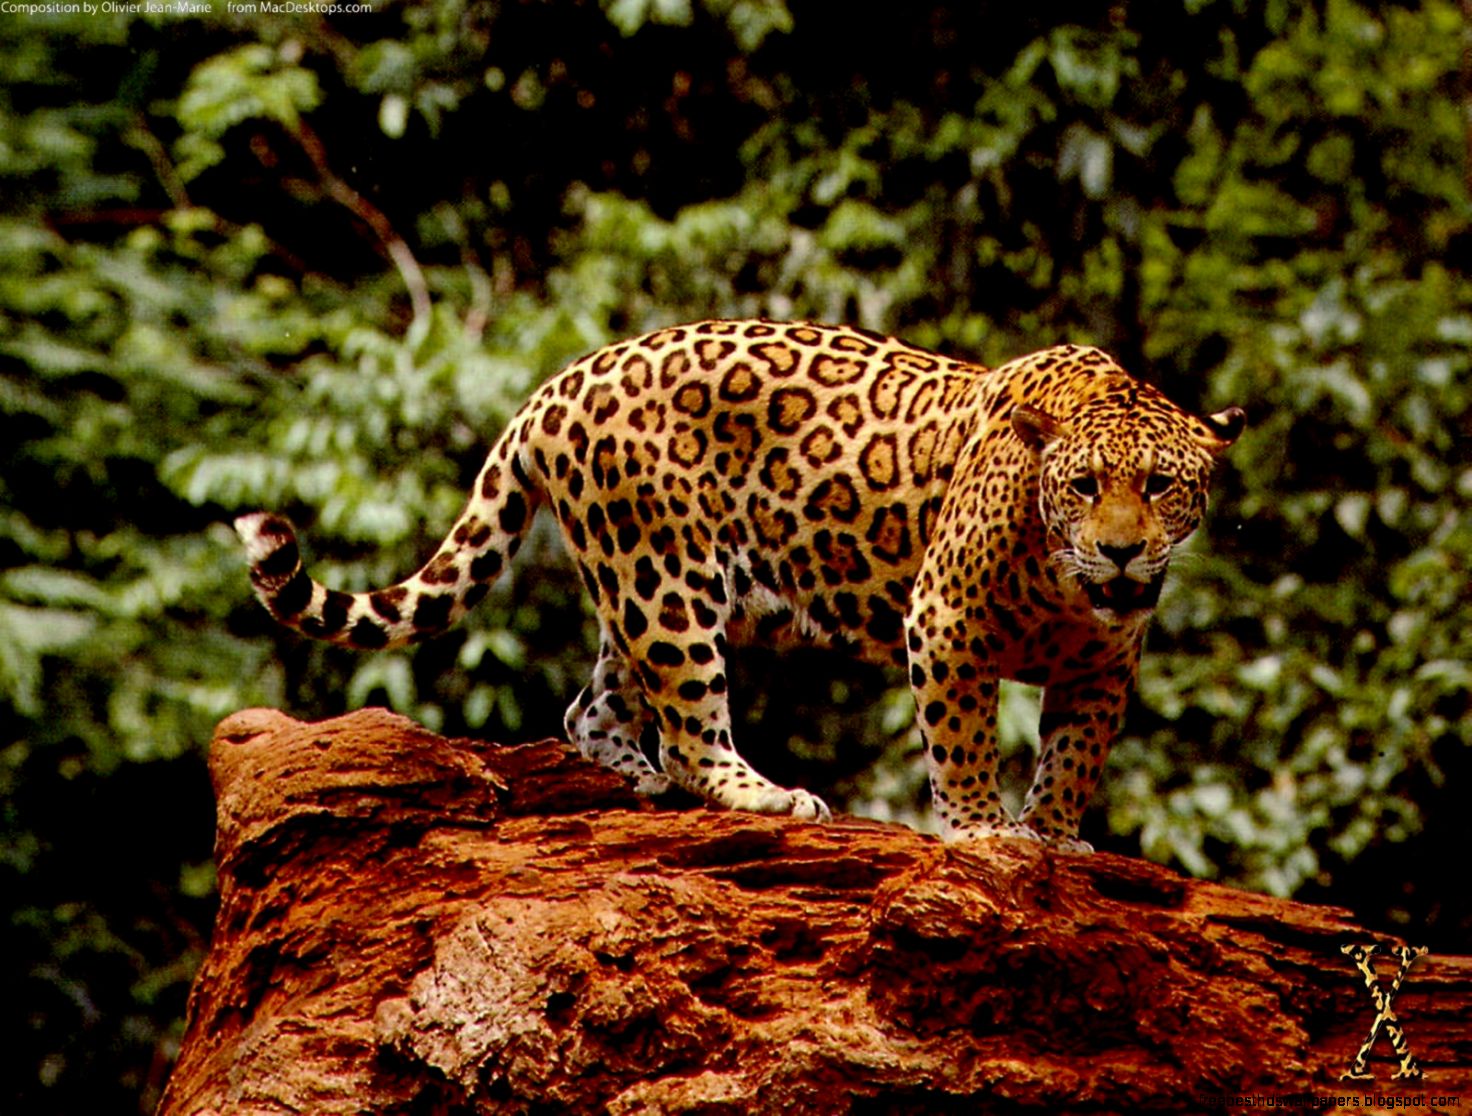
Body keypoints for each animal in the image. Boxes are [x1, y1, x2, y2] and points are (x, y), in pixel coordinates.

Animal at [236, 319, 1244, 850]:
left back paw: (636, 782)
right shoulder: (946, 620)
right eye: (1085, 486)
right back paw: (762, 794)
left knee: (592, 708)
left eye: (1161, 485)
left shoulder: (1103, 663)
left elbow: (1075, 754)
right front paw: (981, 831)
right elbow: (961, 738)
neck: (1065, 580)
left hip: (639, 583)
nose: (1121, 552)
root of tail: (558, 382)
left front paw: (1057, 834)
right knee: (690, 729)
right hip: (667, 581)